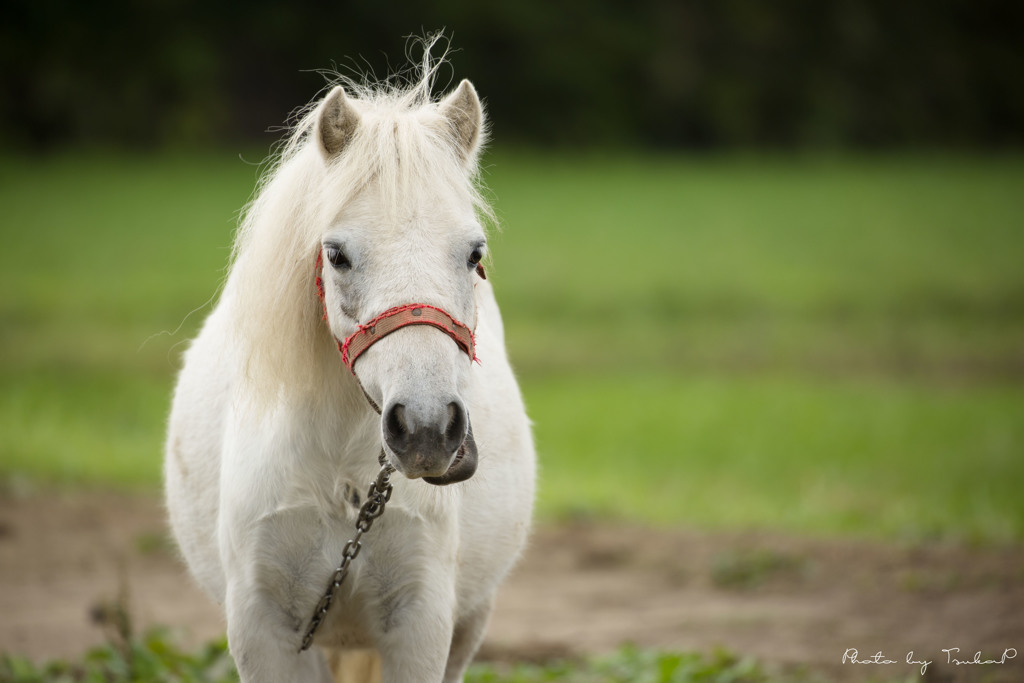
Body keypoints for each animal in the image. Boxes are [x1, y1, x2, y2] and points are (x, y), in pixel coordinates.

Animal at [161, 63, 536, 683]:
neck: (341, 477)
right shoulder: (266, 630)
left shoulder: (421, 625)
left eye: (474, 254)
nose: (428, 430)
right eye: (336, 254)